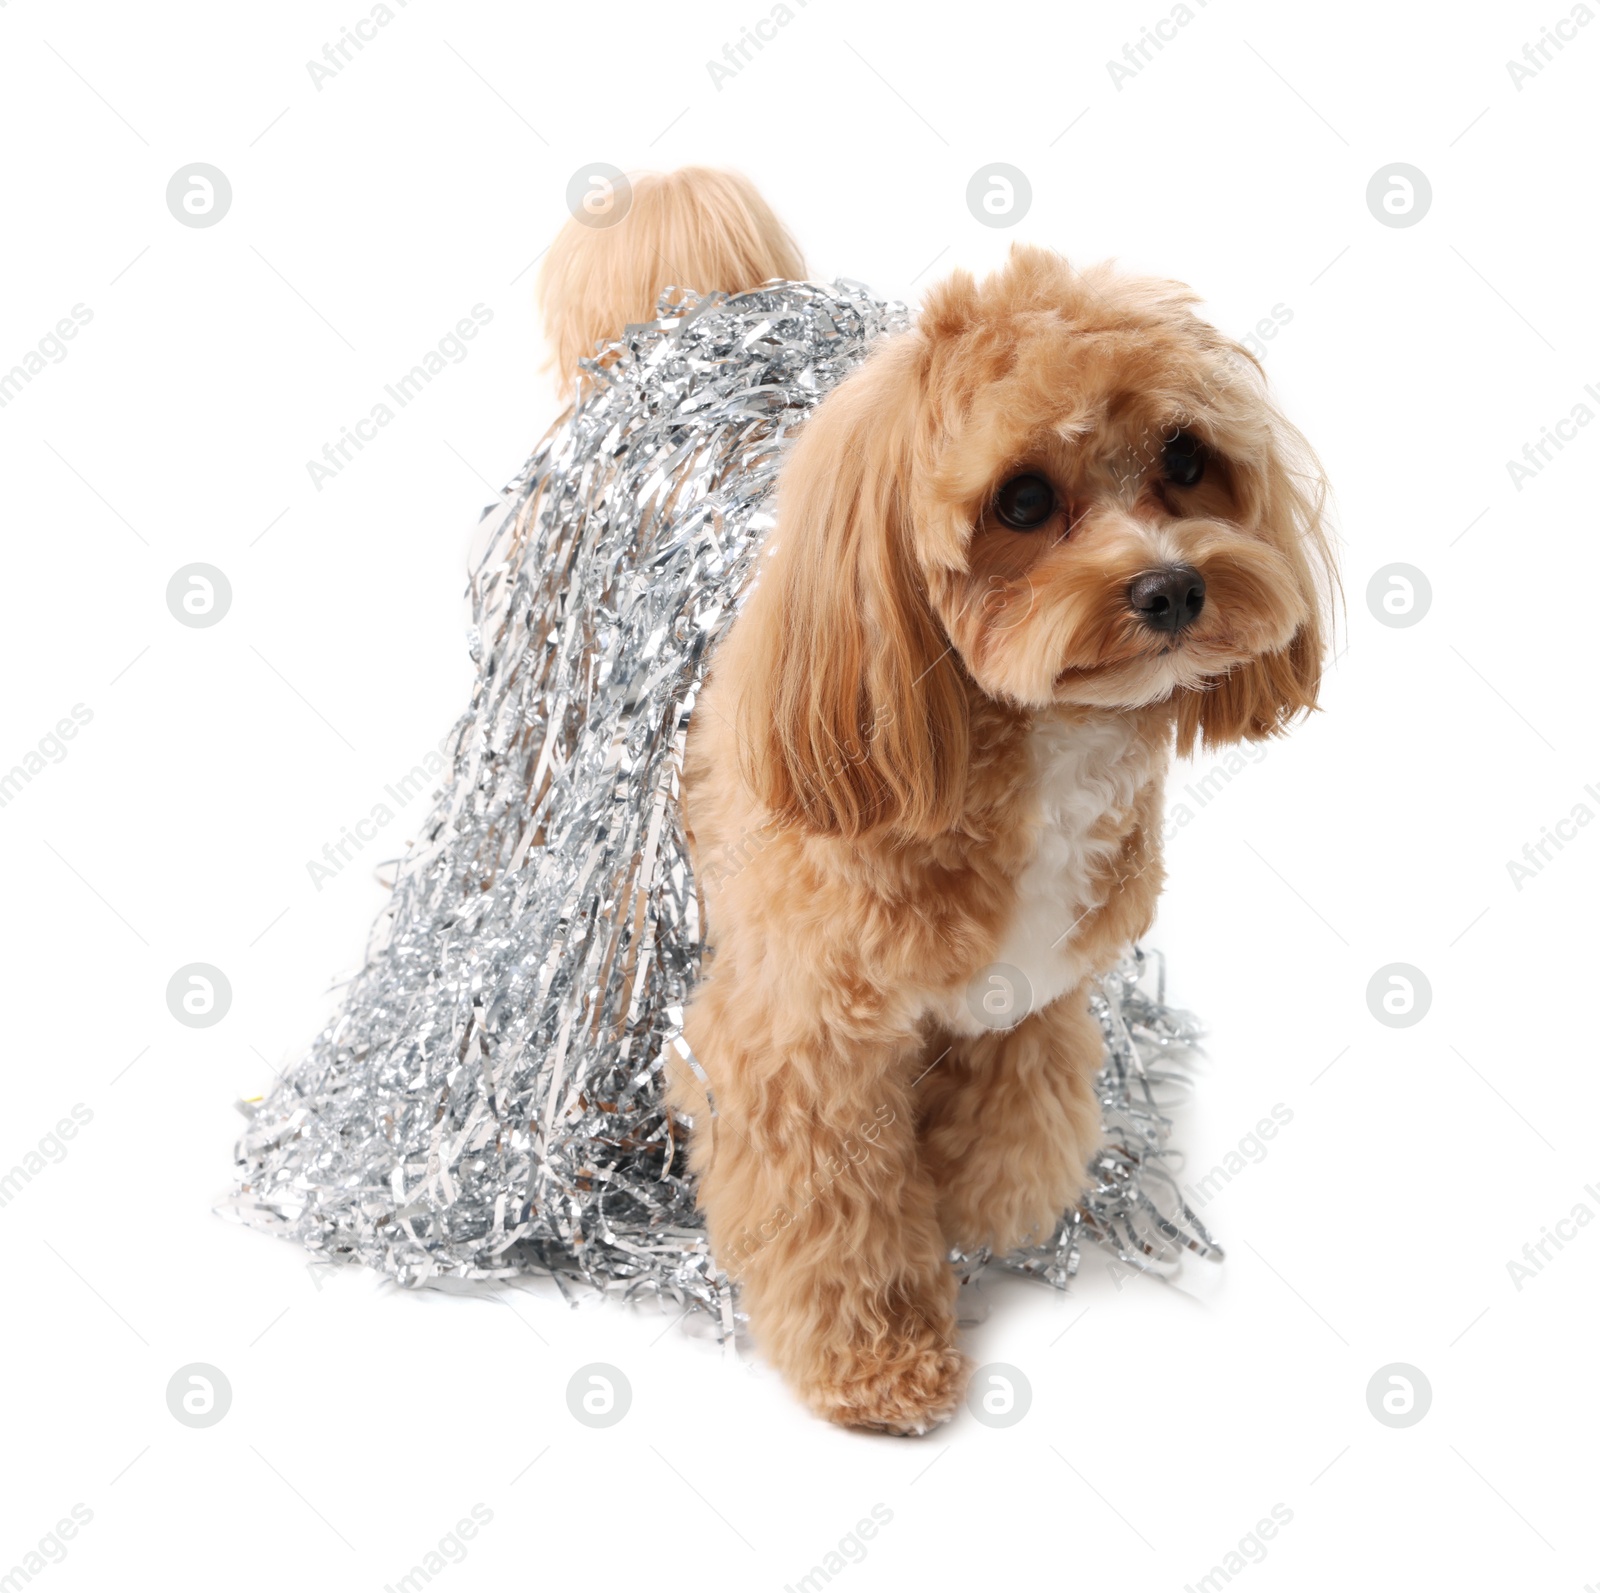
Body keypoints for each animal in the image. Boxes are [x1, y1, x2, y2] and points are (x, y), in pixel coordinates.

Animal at [537, 167, 1337, 1439]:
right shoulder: (796, 1038)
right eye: (1020, 501)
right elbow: (832, 1216)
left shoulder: (1032, 990)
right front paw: (878, 1360)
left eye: (1184, 458)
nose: (1171, 588)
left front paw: (977, 1207)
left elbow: (1021, 1121)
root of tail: (681, 322)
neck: (1022, 748)